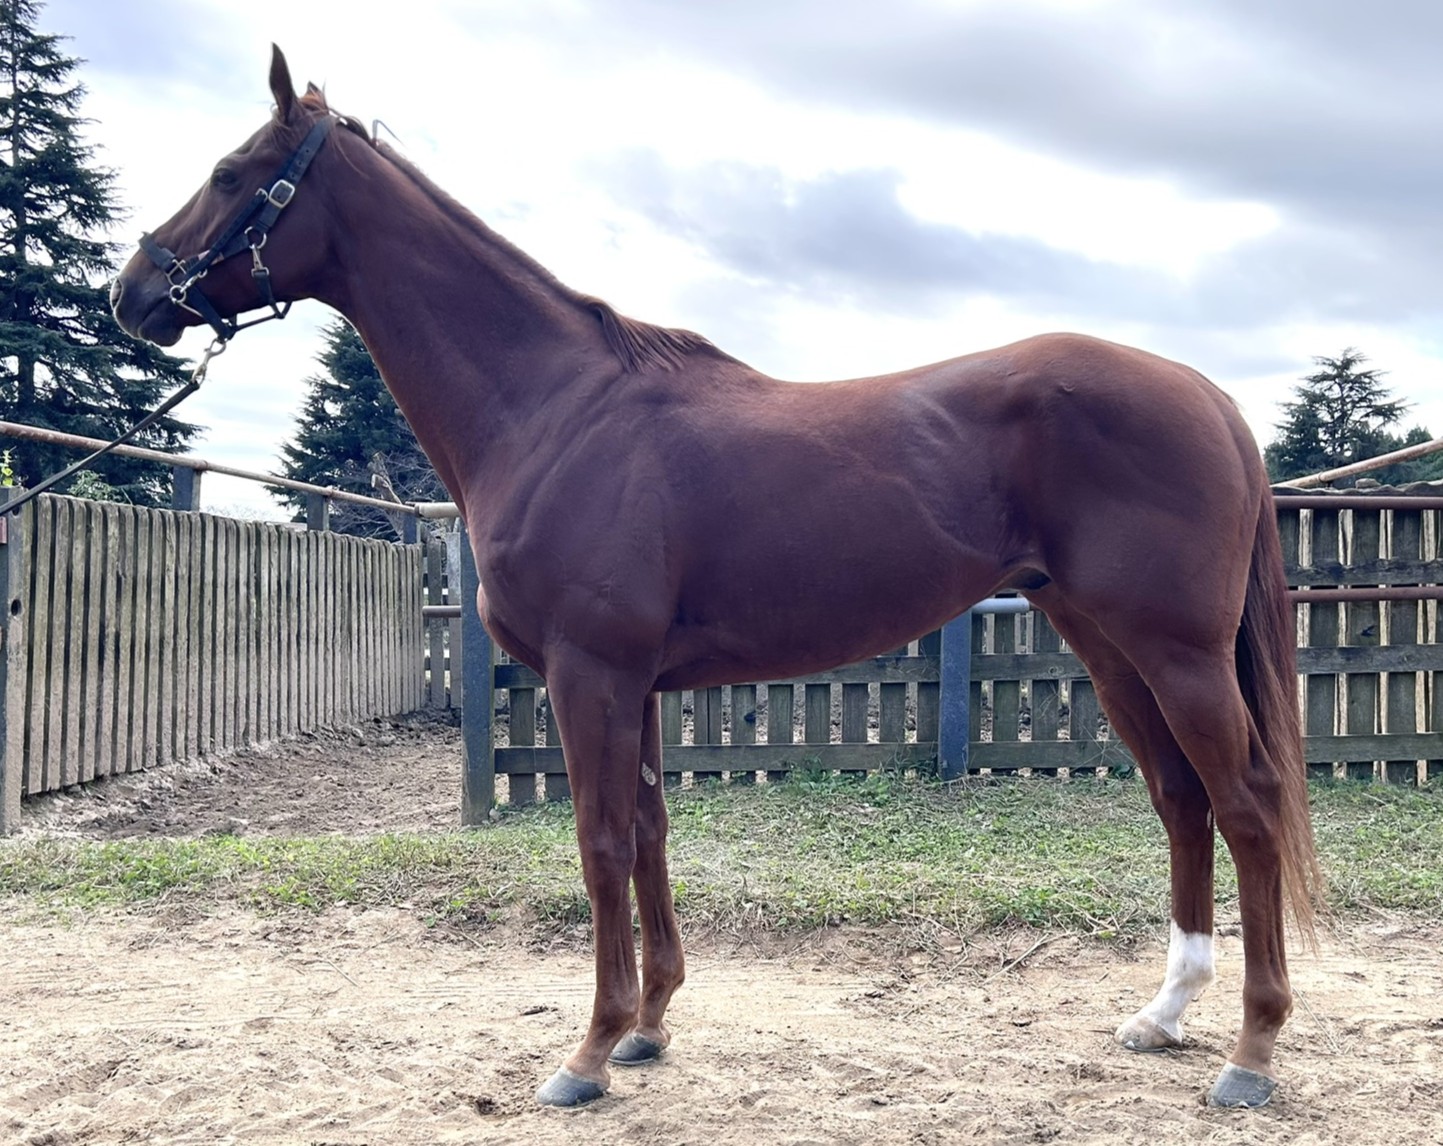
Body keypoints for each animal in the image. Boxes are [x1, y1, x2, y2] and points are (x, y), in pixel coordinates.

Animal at [111, 46, 1321, 1111]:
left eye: (231, 173)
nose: (133, 294)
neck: (554, 409)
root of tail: (1208, 396)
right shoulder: (635, 686)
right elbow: (648, 833)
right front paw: (647, 1027)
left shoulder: (589, 675)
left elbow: (599, 845)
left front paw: (588, 1054)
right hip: (1107, 646)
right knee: (1181, 800)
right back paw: (1165, 1015)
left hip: (1175, 652)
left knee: (1247, 803)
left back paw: (1251, 1051)